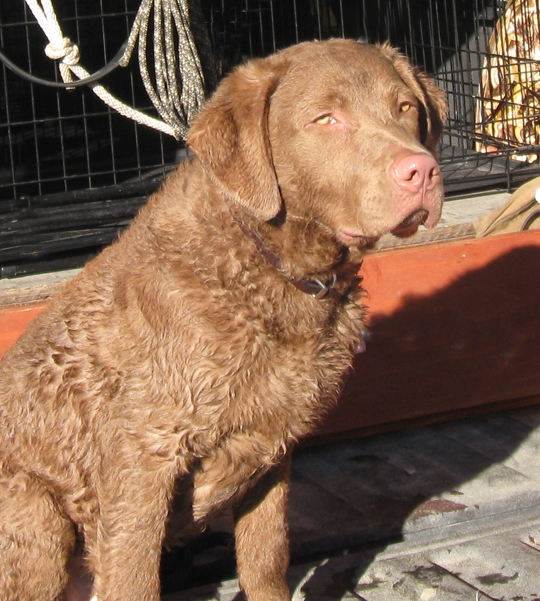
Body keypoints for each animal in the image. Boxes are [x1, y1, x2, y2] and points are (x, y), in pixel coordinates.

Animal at [0, 39, 446, 596]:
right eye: (326, 118)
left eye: (405, 107)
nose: (422, 171)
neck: (273, 272)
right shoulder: (143, 451)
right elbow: (133, 575)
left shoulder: (276, 440)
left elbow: (265, 554)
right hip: (36, 513)